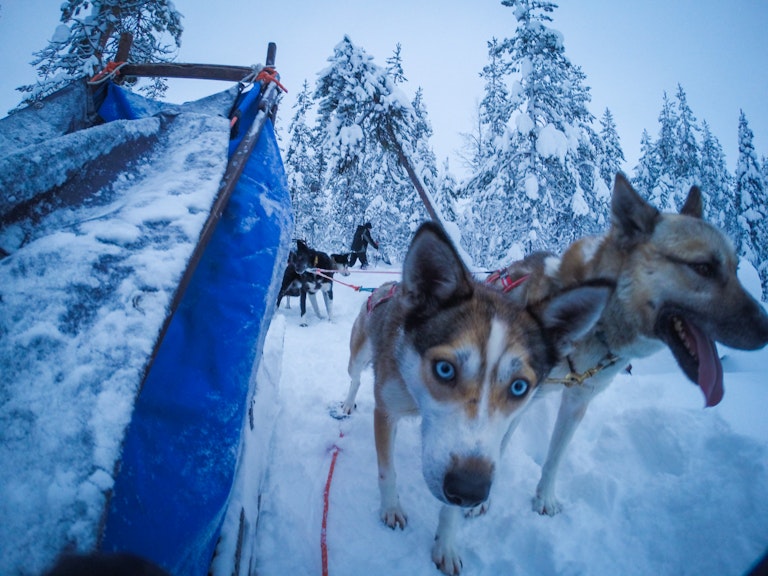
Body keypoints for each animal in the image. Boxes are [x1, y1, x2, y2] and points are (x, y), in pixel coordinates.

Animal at [342, 223, 612, 572]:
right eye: (444, 369)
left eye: (519, 387)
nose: (469, 489)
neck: (416, 395)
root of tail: (386, 286)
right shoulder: (386, 412)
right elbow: (387, 472)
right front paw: (390, 509)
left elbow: (451, 511)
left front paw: (446, 544)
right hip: (358, 356)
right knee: (355, 378)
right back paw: (346, 403)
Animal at [486, 172, 768, 516]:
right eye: (703, 267)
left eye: (736, 268)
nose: (766, 328)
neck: (598, 326)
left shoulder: (578, 401)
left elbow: (555, 456)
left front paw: (544, 498)